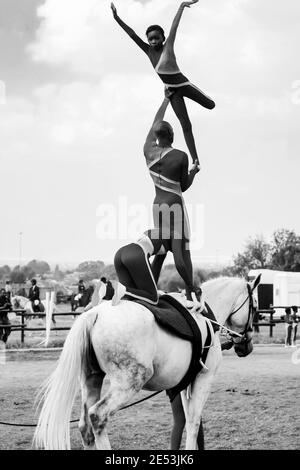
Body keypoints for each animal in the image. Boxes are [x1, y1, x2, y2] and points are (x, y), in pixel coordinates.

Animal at [34, 276, 260, 452]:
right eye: (255, 307)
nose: (247, 345)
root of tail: (94, 313)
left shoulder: (186, 383)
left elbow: (188, 420)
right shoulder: (204, 378)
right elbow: (194, 422)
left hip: (91, 379)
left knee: (85, 426)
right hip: (129, 382)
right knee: (98, 416)